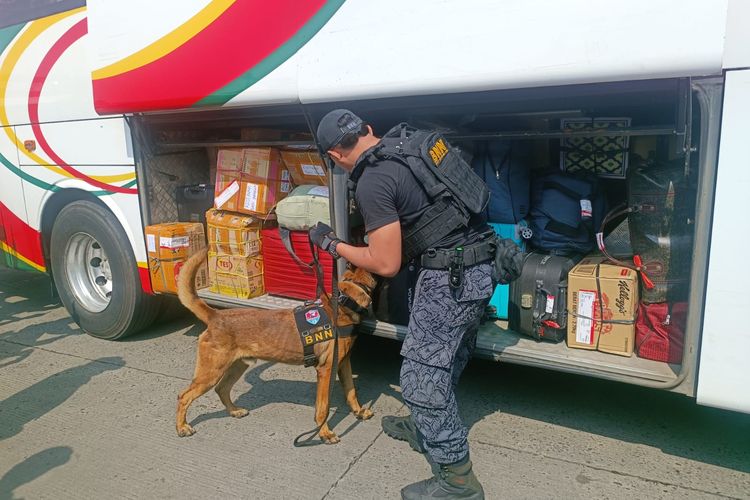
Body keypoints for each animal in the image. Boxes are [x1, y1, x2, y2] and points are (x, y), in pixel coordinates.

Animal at [175, 248, 376, 444]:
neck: (344, 302)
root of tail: (215, 315)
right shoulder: (326, 370)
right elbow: (323, 407)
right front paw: (324, 433)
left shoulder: (344, 363)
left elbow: (351, 392)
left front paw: (359, 412)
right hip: (210, 373)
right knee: (184, 396)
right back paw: (182, 427)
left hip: (236, 366)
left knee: (221, 389)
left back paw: (234, 411)